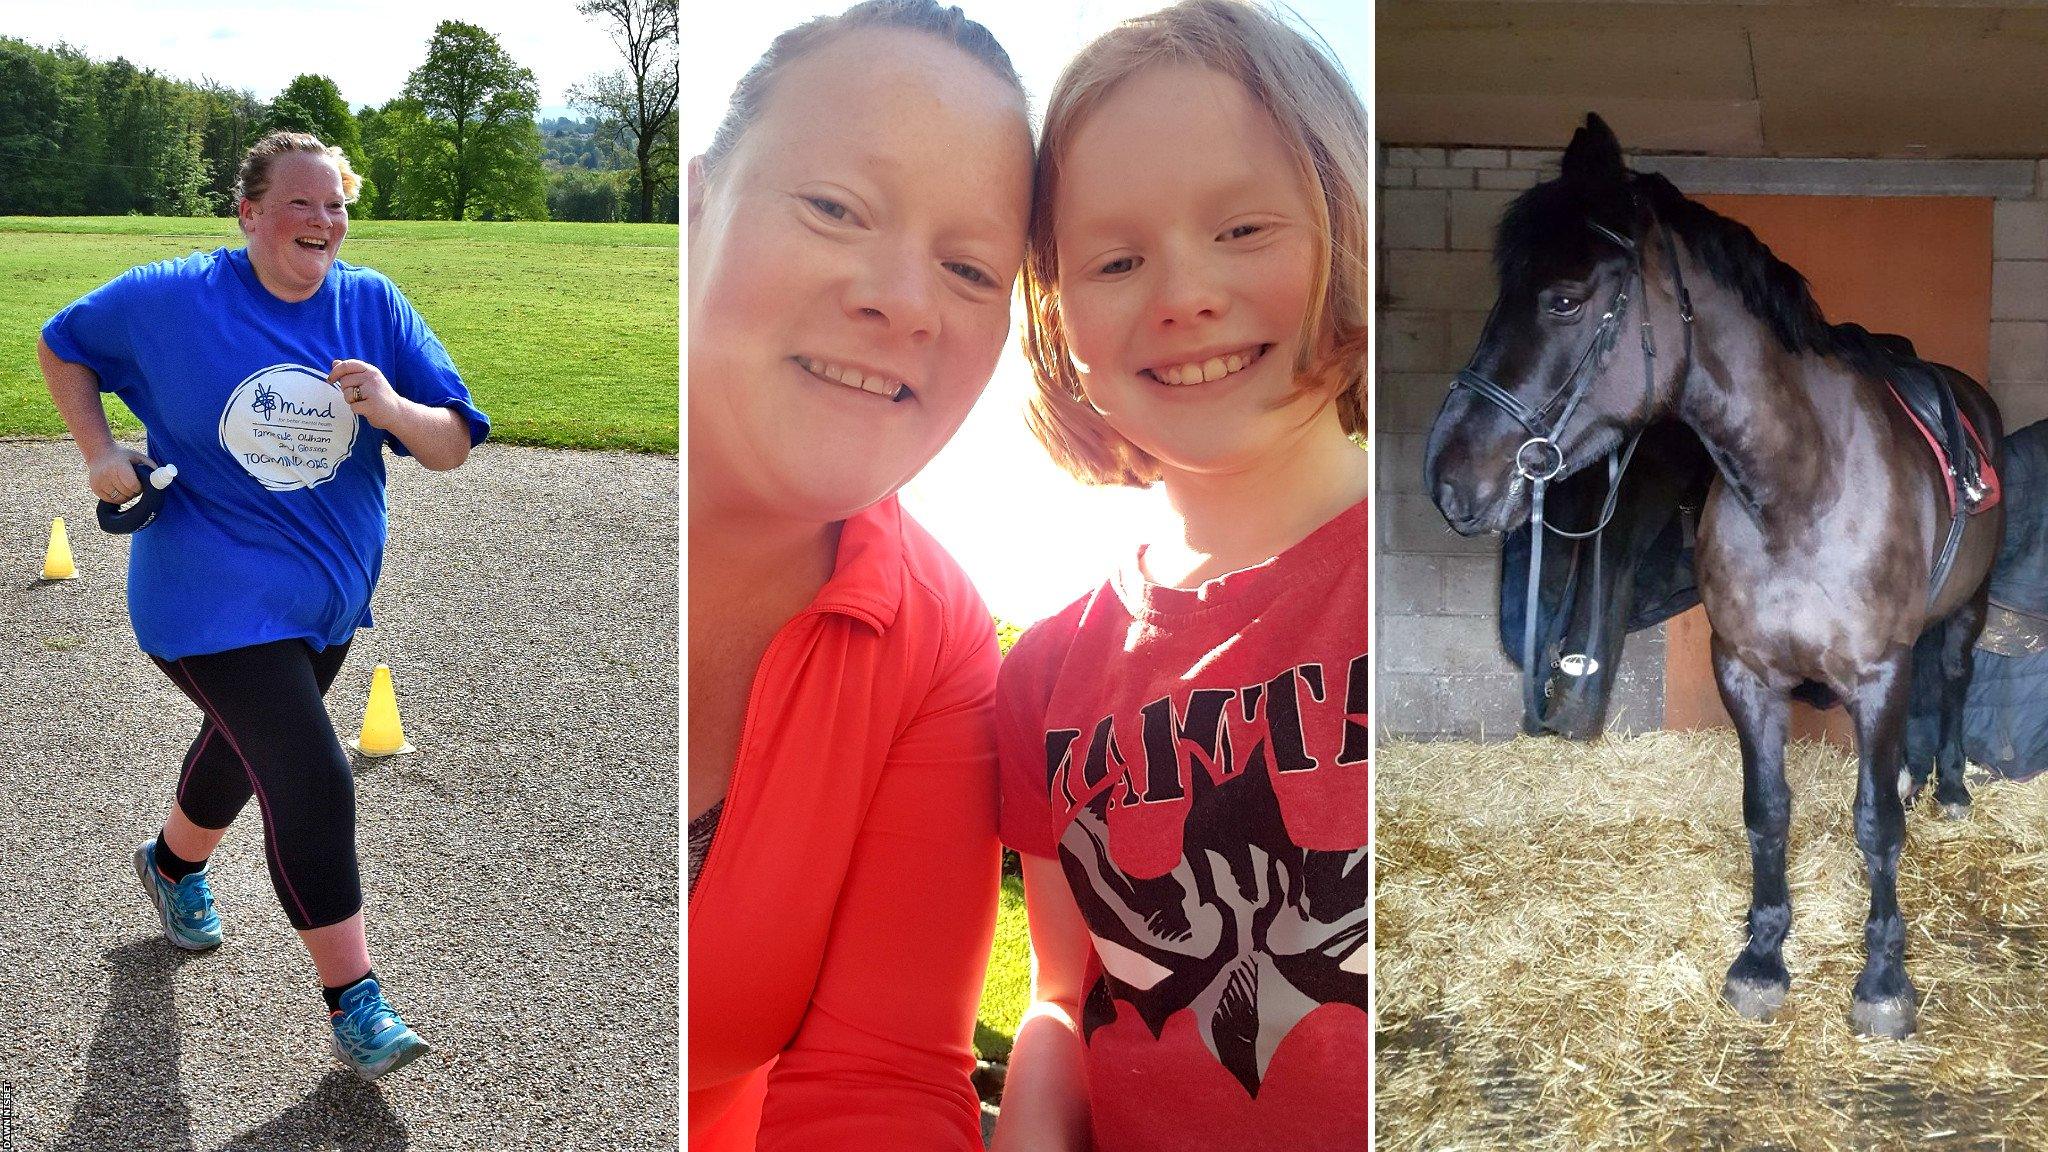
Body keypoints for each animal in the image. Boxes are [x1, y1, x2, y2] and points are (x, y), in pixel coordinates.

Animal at [1425, 112, 1998, 1037]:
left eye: (1563, 299)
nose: (1447, 479)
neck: (1802, 492)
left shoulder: (1879, 673)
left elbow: (1874, 824)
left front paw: (1883, 979)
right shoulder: (1746, 672)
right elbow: (1767, 813)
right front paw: (1763, 956)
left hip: (1966, 612)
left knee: (1952, 678)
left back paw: (1946, 787)